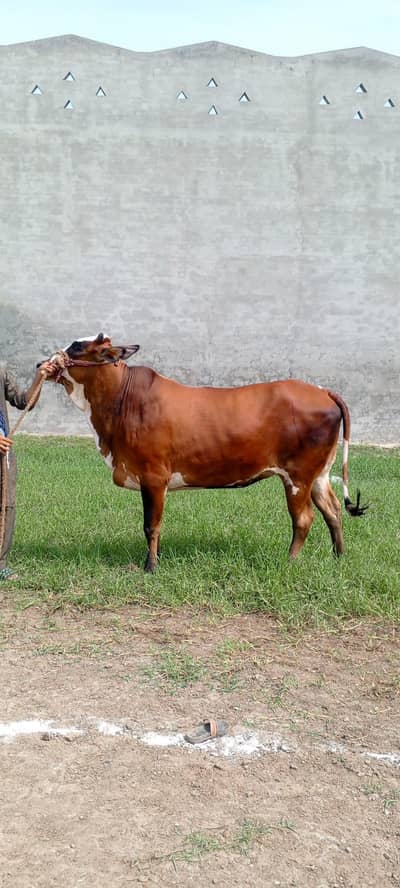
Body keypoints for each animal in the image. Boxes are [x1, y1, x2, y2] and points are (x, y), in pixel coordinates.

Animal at [41, 333, 367, 573]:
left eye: (77, 346)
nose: (41, 364)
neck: (121, 400)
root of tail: (321, 390)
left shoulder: (153, 476)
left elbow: (151, 526)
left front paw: (151, 567)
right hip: (318, 474)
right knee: (332, 511)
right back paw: (338, 556)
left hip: (298, 476)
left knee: (304, 518)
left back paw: (289, 561)